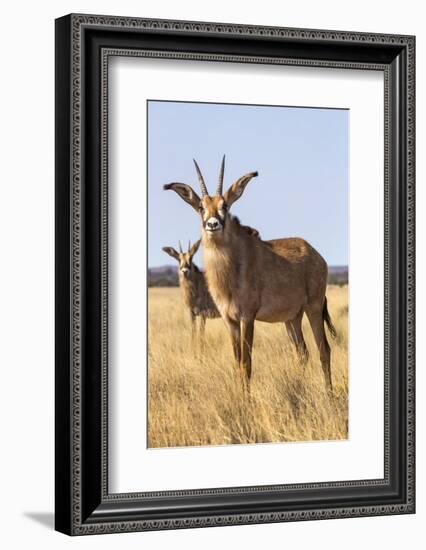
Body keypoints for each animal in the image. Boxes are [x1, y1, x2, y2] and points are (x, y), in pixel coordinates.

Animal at [165, 157, 338, 392]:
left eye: (224, 205)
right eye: (201, 207)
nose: (213, 224)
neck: (231, 267)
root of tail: (315, 254)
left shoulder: (247, 317)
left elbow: (246, 363)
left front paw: (245, 399)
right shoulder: (230, 320)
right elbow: (237, 361)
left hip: (314, 307)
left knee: (324, 350)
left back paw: (329, 394)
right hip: (292, 318)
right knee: (302, 352)